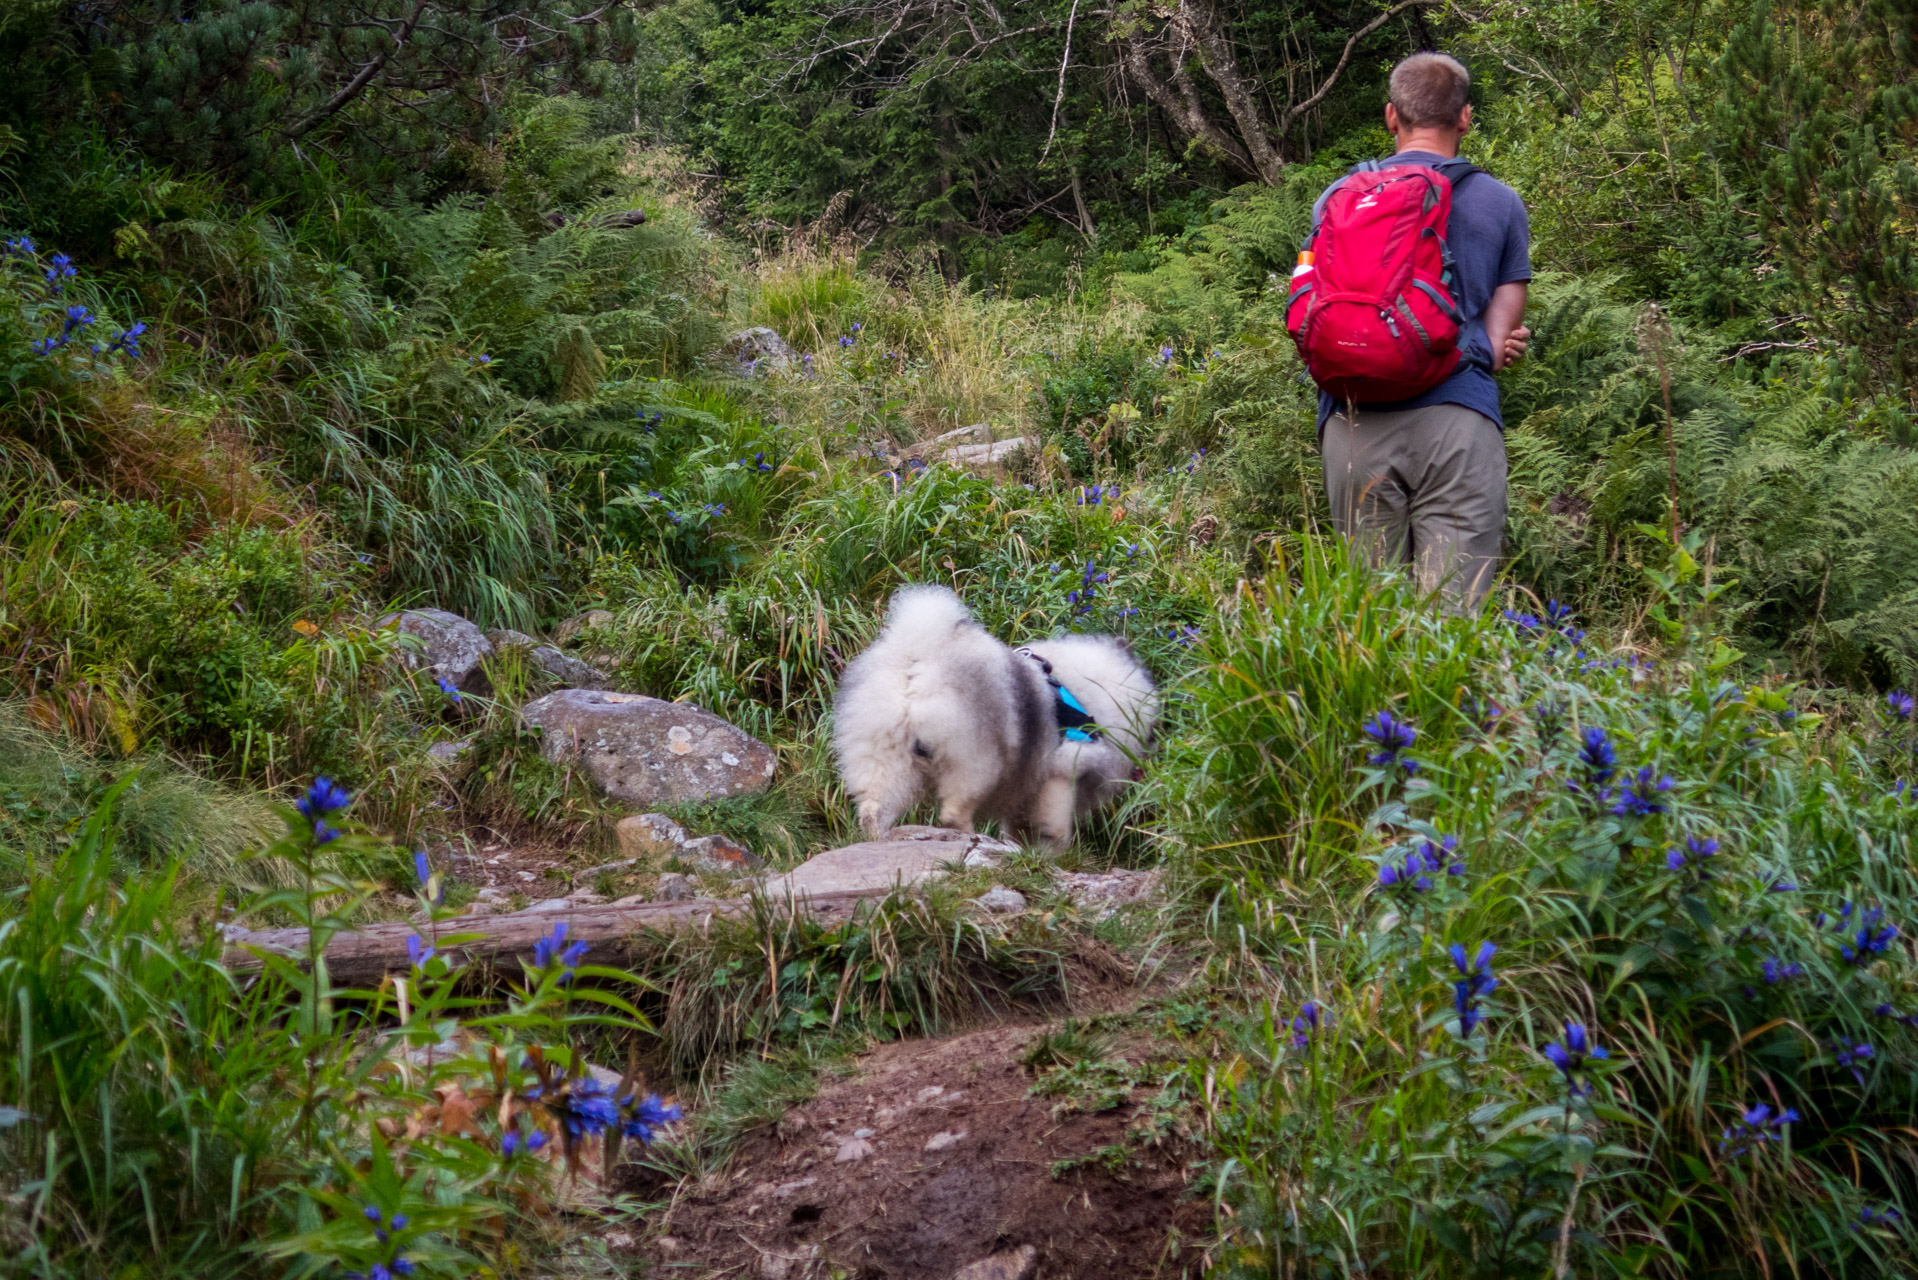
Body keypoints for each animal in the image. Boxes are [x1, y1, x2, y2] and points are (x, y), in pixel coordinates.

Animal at [836, 587, 1158, 852]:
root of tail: (920, 659)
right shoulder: (1062, 770)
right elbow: (1054, 829)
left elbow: (1019, 830)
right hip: (975, 760)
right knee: (953, 813)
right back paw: (971, 839)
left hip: (886, 758)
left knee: (873, 810)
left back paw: (879, 841)